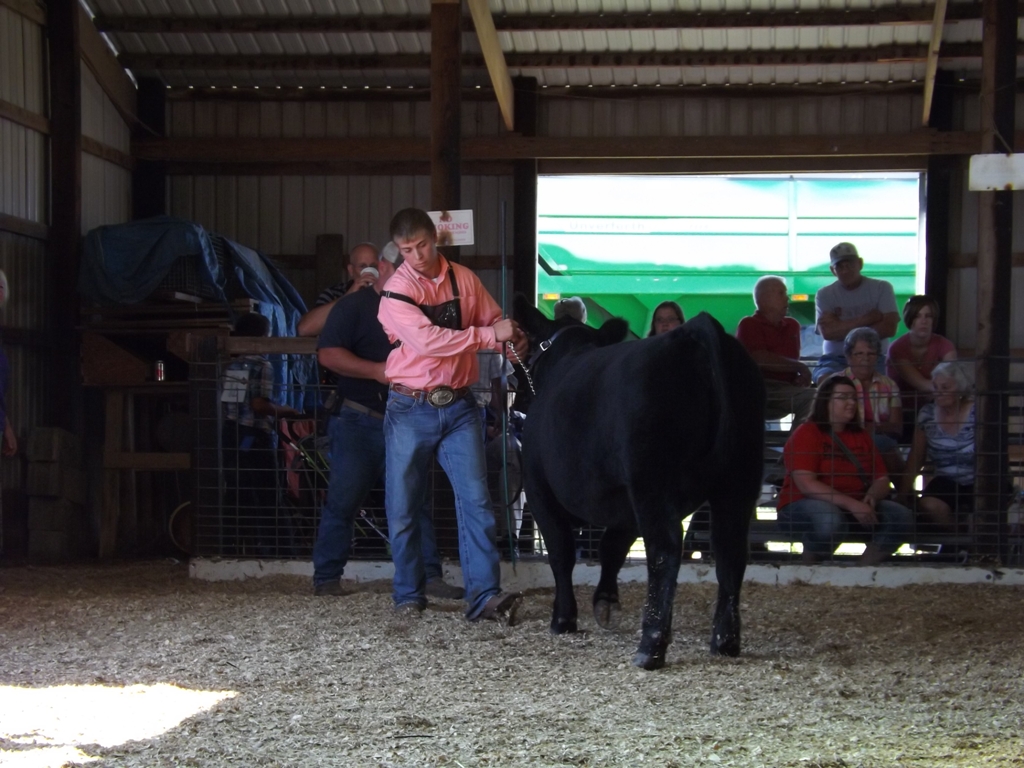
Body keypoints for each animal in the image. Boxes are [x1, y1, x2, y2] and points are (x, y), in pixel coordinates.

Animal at [512, 296, 765, 670]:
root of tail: (696, 331)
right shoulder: (623, 499)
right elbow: (612, 547)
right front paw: (604, 601)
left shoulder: (539, 488)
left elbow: (561, 552)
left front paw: (563, 619)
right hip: (740, 478)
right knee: (730, 552)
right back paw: (725, 641)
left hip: (653, 481)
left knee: (665, 551)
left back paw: (651, 646)